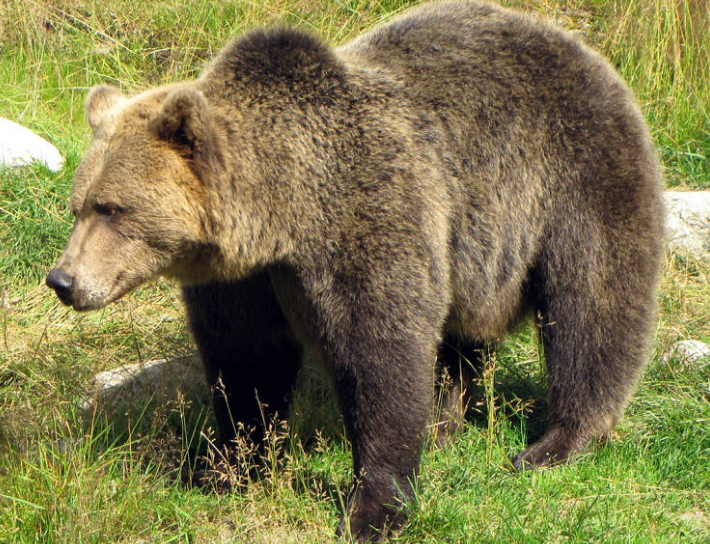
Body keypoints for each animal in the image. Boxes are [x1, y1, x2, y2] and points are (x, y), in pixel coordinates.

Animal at [46, 1, 665, 541]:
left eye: (111, 208)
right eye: (78, 205)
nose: (63, 281)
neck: (281, 215)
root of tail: (582, 47)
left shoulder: (365, 217)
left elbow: (379, 355)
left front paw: (374, 508)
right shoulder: (244, 281)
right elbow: (247, 360)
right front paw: (227, 467)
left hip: (575, 173)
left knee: (593, 304)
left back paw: (558, 441)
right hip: (472, 244)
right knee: (462, 334)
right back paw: (445, 422)